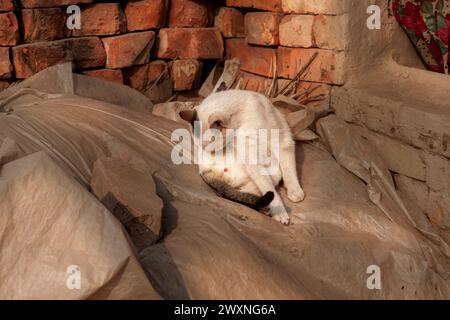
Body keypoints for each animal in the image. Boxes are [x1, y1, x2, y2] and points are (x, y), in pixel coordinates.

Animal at [180, 89, 306, 224]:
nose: (211, 155)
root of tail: (202, 172)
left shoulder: (283, 142)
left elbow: (290, 171)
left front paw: (295, 192)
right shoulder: (250, 153)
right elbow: (272, 190)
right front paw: (280, 213)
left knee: (241, 195)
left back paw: (265, 209)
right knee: (238, 194)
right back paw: (267, 210)